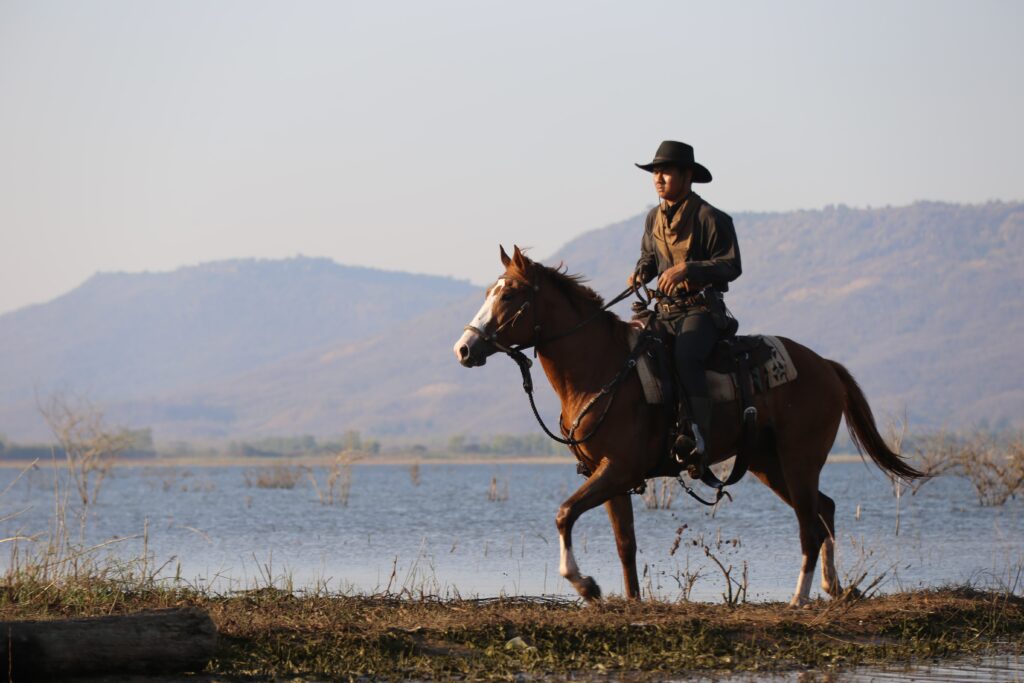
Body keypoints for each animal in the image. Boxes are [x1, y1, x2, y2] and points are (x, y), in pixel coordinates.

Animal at [452, 245, 924, 607]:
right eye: (491, 291)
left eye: (510, 295)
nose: (464, 348)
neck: (602, 368)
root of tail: (825, 366)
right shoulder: (609, 475)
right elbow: (625, 543)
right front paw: (631, 600)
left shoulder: (618, 468)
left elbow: (564, 514)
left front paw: (586, 585)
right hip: (768, 463)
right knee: (824, 510)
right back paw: (834, 588)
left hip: (799, 459)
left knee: (810, 524)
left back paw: (799, 597)